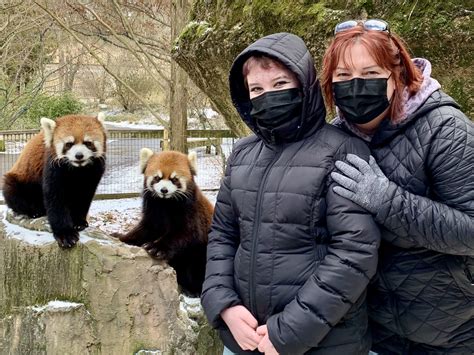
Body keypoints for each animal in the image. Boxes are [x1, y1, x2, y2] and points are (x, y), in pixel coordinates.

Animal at [3, 114, 106, 248]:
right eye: (69, 144)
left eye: (88, 143)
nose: (79, 155)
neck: (77, 170)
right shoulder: (52, 167)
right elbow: (55, 199)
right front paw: (65, 234)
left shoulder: (93, 173)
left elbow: (84, 198)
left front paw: (79, 222)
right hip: (17, 181)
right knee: (14, 194)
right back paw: (35, 211)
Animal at [113, 149, 213, 298]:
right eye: (157, 178)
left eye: (174, 179)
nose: (164, 190)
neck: (165, 203)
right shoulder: (153, 212)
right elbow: (144, 230)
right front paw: (121, 237)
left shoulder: (192, 213)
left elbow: (185, 234)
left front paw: (156, 247)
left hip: (201, 254)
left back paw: (193, 289)